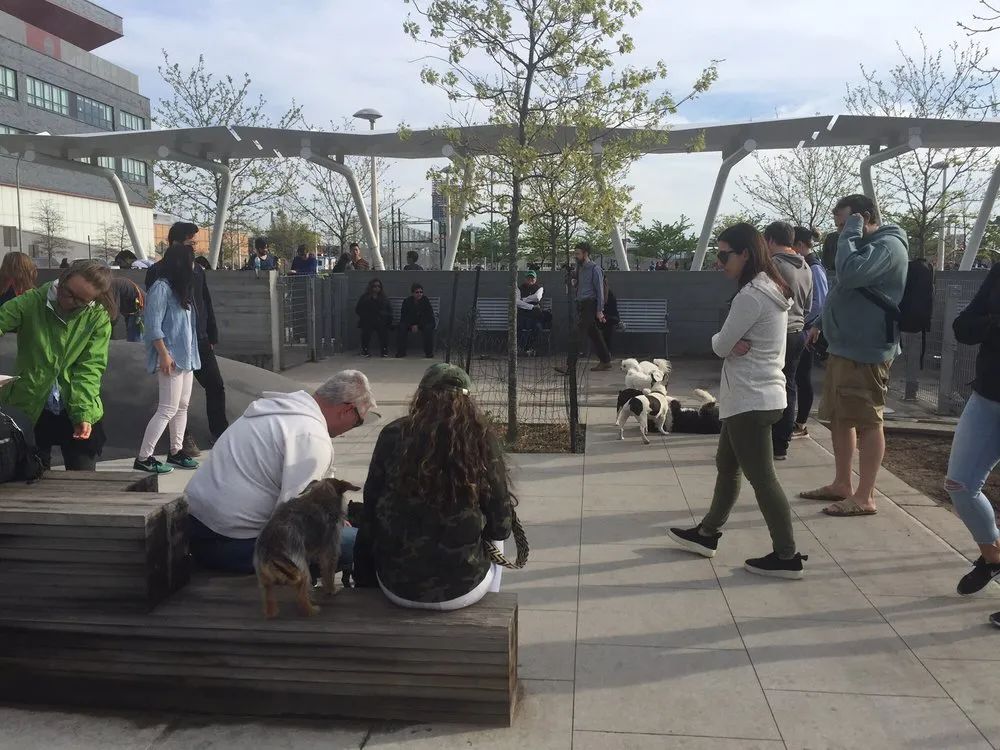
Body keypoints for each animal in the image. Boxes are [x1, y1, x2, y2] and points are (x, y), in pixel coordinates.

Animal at [254, 477, 360, 618]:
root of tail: (273, 547)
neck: (319, 497)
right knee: (301, 595)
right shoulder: (330, 549)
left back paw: (272, 612)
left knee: (268, 594)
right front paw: (331, 590)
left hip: (265, 575)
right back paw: (311, 610)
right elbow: (329, 573)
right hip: (301, 568)